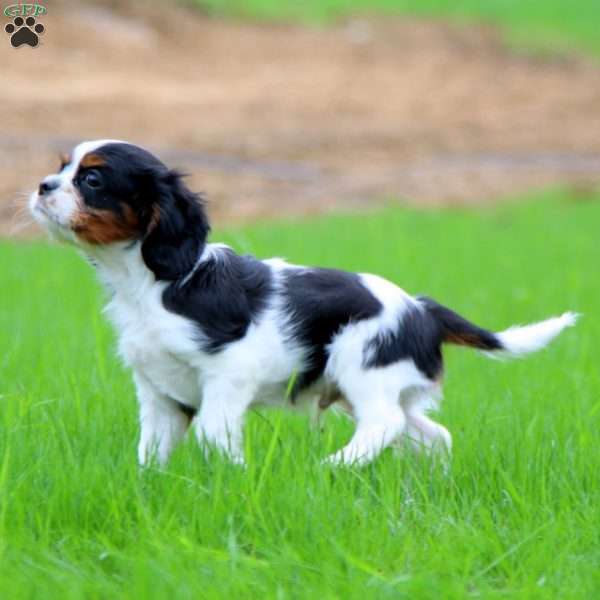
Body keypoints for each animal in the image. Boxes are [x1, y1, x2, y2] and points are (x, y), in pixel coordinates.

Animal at [31, 139, 576, 464]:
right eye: (61, 168)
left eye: (92, 179)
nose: (41, 185)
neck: (149, 283)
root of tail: (422, 308)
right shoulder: (157, 391)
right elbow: (152, 451)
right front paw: (148, 490)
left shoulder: (229, 374)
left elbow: (212, 433)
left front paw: (229, 479)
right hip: (382, 385)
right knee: (430, 433)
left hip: (365, 366)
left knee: (384, 424)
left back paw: (332, 466)